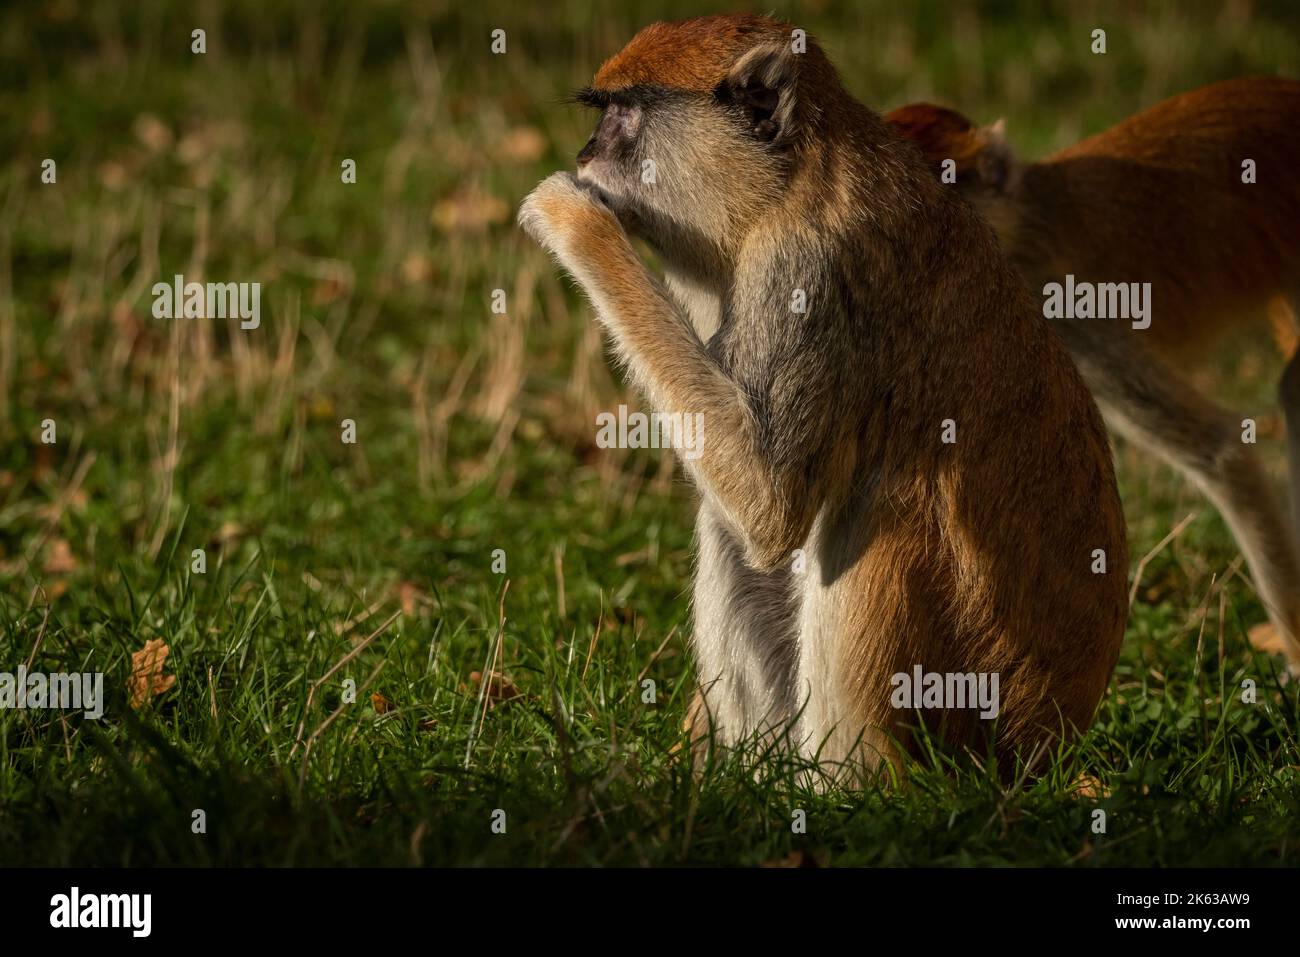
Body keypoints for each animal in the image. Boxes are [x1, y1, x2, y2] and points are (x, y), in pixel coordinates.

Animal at [519, 14, 1129, 783]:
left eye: (622, 117)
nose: (585, 153)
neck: (782, 184)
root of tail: (1053, 739)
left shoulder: (808, 269)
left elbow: (770, 505)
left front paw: (572, 215)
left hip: (974, 707)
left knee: (872, 518)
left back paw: (843, 789)